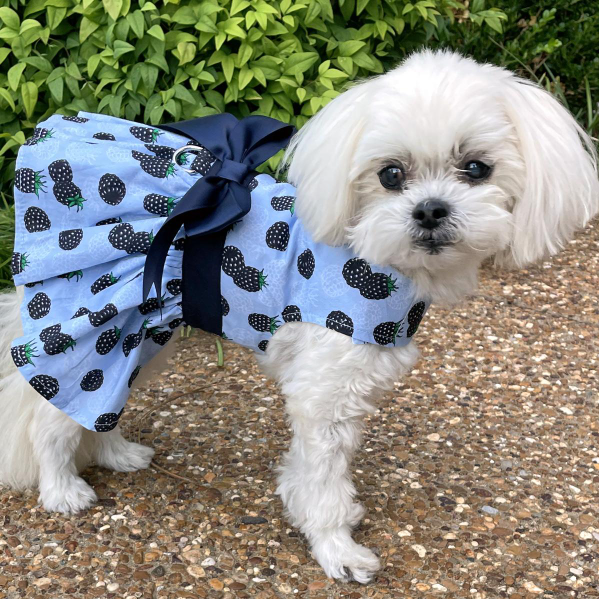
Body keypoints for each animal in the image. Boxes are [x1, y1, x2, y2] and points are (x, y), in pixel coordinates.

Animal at [1, 51, 599, 584]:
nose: (430, 210)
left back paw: (117, 453)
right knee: (50, 416)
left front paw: (308, 507)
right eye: (390, 174)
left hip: (142, 333)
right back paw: (61, 490)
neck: (373, 256)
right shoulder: (324, 392)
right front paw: (336, 548)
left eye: (476, 168)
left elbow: (309, 472)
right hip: (99, 327)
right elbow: (324, 479)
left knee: (96, 407)